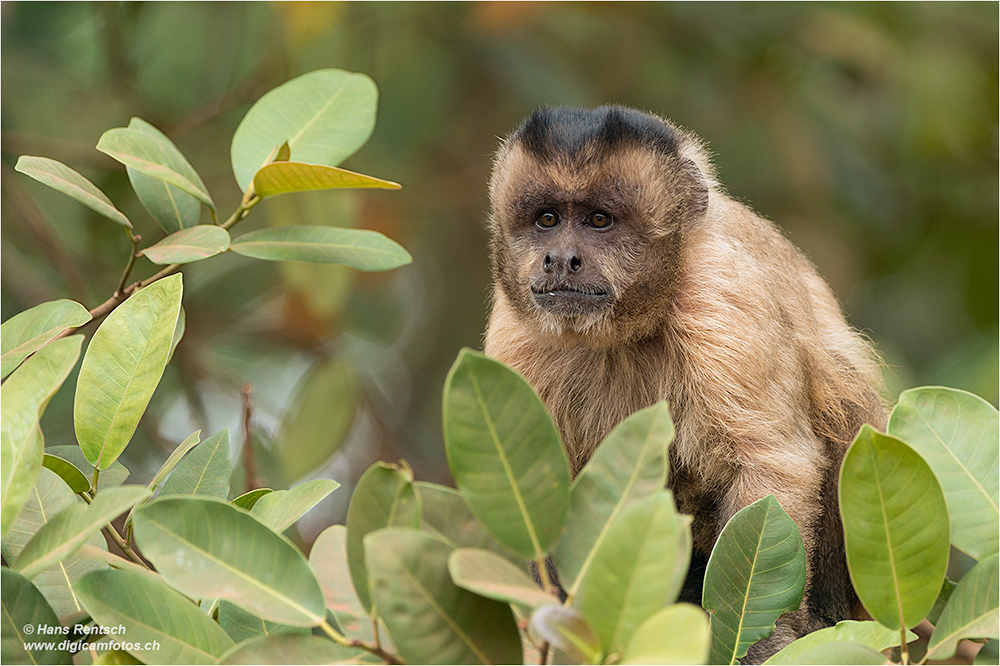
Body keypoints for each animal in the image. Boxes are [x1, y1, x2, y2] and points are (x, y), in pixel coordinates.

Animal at [482, 106, 884, 660]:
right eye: (547, 220)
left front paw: (762, 641)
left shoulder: (720, 294)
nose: (560, 258)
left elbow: (772, 462)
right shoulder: (515, 331)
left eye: (598, 221)